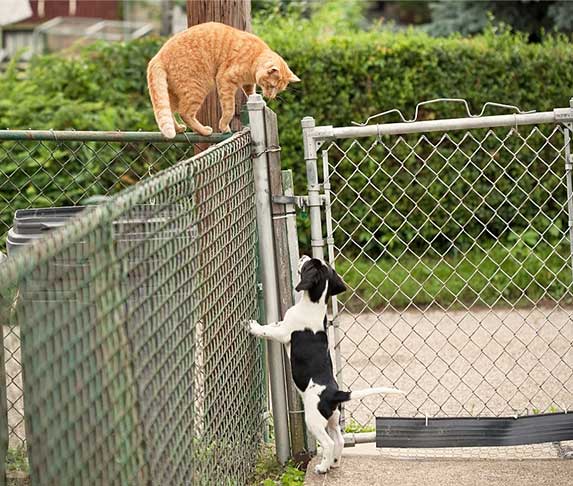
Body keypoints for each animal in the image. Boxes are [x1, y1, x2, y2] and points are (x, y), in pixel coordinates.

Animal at [146, 21, 300, 138]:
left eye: (278, 90)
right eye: (272, 86)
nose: (271, 97)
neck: (255, 57)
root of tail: (158, 56)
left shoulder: (248, 83)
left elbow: (251, 93)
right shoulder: (225, 80)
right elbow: (229, 109)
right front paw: (224, 127)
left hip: (172, 94)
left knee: (169, 112)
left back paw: (178, 129)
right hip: (197, 88)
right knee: (184, 113)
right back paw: (204, 131)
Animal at [247, 256, 402, 472]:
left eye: (308, 265)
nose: (303, 256)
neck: (314, 303)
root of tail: (335, 393)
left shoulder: (284, 332)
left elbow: (268, 330)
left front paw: (253, 326)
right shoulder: (283, 325)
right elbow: (274, 324)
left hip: (313, 419)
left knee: (328, 442)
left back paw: (322, 467)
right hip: (333, 419)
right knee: (339, 440)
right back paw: (334, 463)